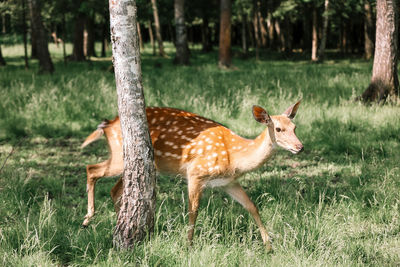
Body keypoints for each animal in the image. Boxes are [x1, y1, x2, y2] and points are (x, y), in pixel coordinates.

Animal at [83, 101, 304, 251]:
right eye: (278, 129)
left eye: (295, 127)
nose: (299, 146)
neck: (234, 157)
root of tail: (108, 124)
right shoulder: (196, 172)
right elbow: (193, 210)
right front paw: (188, 245)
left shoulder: (228, 182)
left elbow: (252, 206)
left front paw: (269, 246)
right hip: (121, 156)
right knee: (92, 169)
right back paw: (88, 219)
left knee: (113, 188)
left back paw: (120, 222)